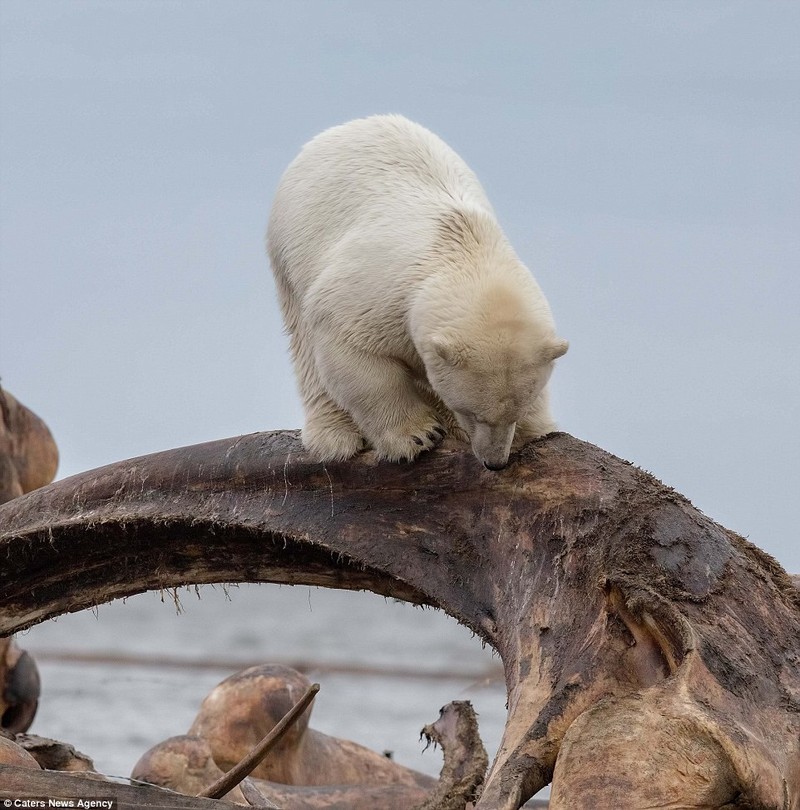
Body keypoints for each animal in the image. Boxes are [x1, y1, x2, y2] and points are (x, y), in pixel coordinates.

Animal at [270, 113, 568, 468]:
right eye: (473, 412)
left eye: (516, 413)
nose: (495, 462)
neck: (465, 249)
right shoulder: (371, 296)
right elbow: (359, 362)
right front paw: (417, 436)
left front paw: (535, 430)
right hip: (291, 252)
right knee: (305, 349)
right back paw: (334, 437)